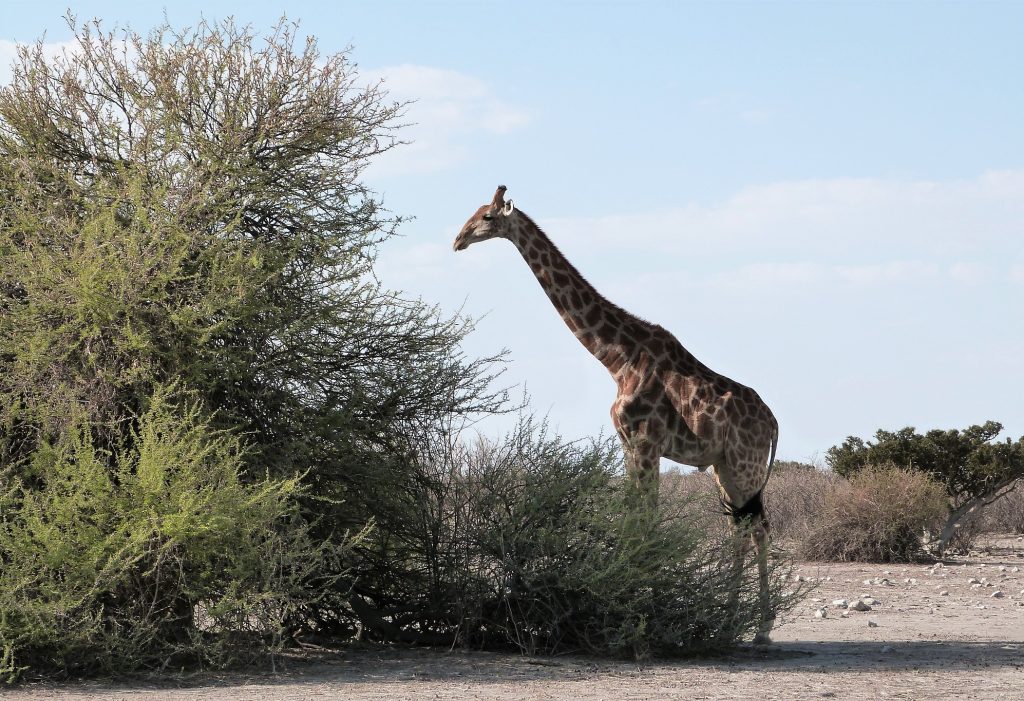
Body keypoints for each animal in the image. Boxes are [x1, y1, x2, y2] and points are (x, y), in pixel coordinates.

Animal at [452, 183, 778, 642]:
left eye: (488, 217)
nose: (457, 240)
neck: (616, 358)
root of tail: (774, 422)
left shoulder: (645, 444)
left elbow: (647, 522)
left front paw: (645, 610)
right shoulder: (628, 445)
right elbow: (633, 520)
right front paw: (632, 602)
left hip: (746, 465)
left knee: (760, 529)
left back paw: (761, 627)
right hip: (724, 467)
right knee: (741, 529)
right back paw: (730, 622)